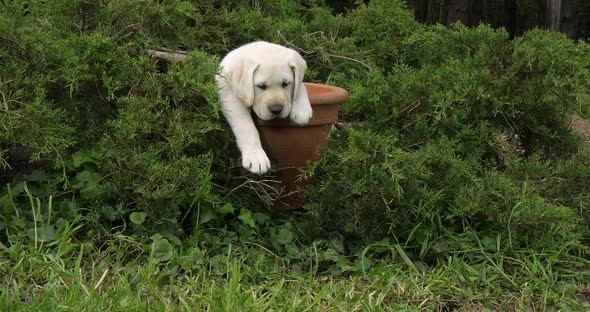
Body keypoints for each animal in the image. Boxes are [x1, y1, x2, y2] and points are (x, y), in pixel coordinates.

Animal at [215, 41, 312, 174]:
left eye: (285, 84)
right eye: (261, 86)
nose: (276, 109)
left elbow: (301, 85)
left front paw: (302, 109)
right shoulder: (230, 96)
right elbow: (246, 126)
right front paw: (256, 156)